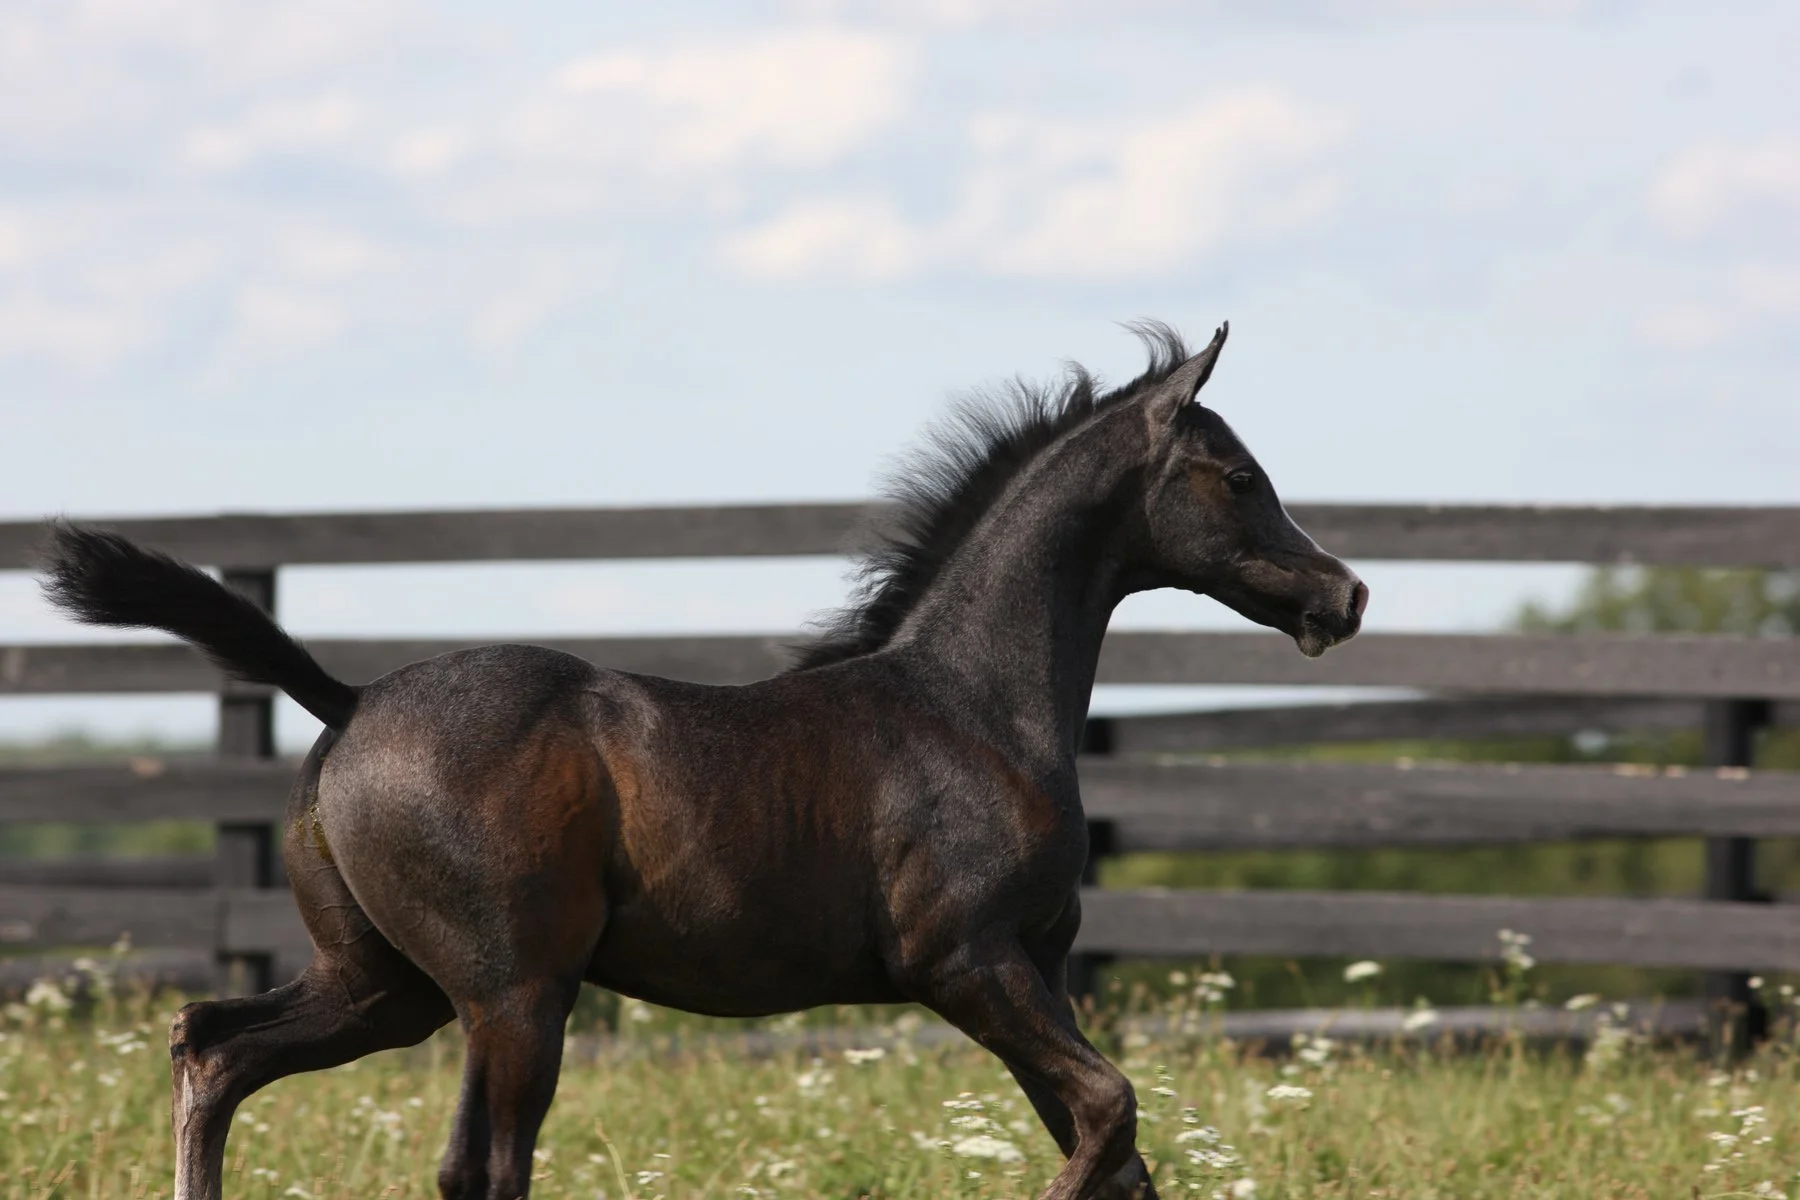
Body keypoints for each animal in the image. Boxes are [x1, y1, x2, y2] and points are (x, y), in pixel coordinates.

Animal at [41, 321, 1365, 1200]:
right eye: (1239, 475)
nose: (1343, 594)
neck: (971, 708)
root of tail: (351, 699)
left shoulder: (1036, 965)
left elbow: (1118, 1149)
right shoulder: (969, 962)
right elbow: (1108, 1115)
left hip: (390, 986)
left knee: (214, 1049)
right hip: (515, 995)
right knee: (480, 1165)